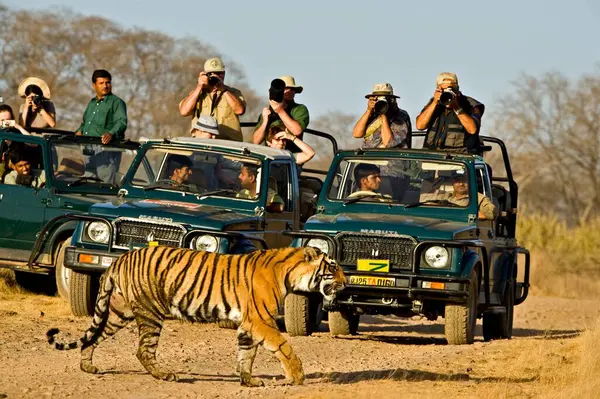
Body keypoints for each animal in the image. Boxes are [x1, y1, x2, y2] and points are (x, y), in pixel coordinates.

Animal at [45, 247, 346, 388]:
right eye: (332, 268)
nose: (346, 283)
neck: (289, 275)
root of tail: (121, 258)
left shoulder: (248, 324)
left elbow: (246, 354)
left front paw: (248, 380)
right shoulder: (260, 320)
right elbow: (283, 346)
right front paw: (297, 376)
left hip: (120, 312)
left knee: (92, 337)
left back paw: (87, 366)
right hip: (151, 313)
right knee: (143, 350)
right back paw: (166, 375)